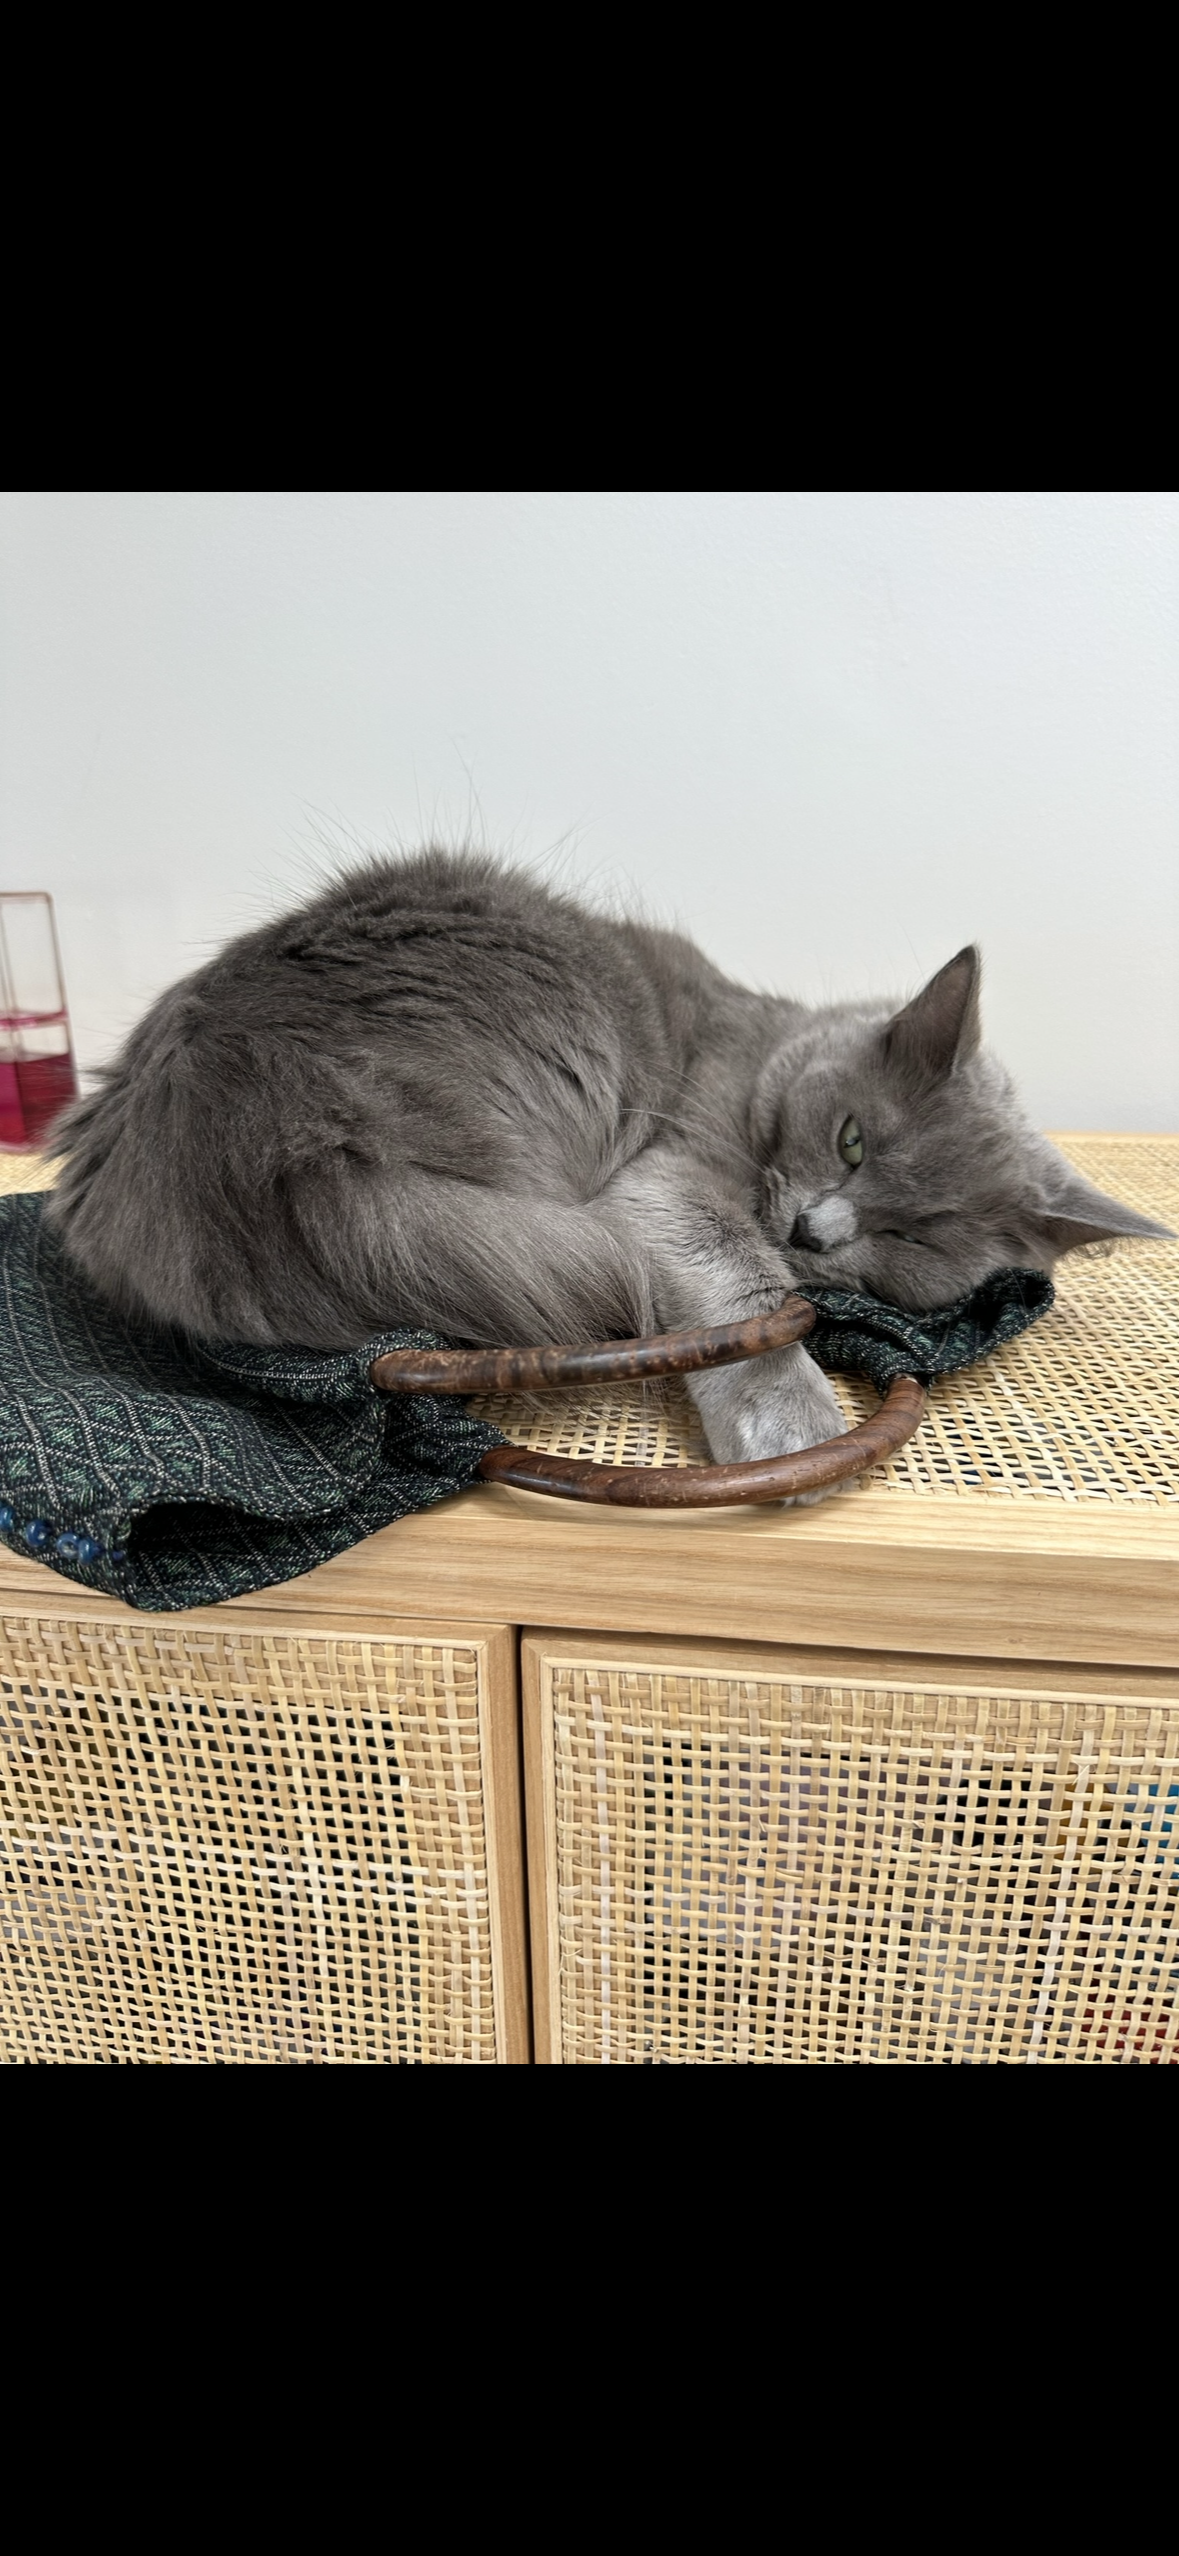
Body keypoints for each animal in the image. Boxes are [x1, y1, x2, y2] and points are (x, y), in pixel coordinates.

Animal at [46, 848, 1170, 1466]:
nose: (816, 1230)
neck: (762, 1045)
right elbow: (742, 1287)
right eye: (853, 1139)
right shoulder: (666, 1174)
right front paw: (793, 1424)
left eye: (916, 1236)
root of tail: (250, 1123)